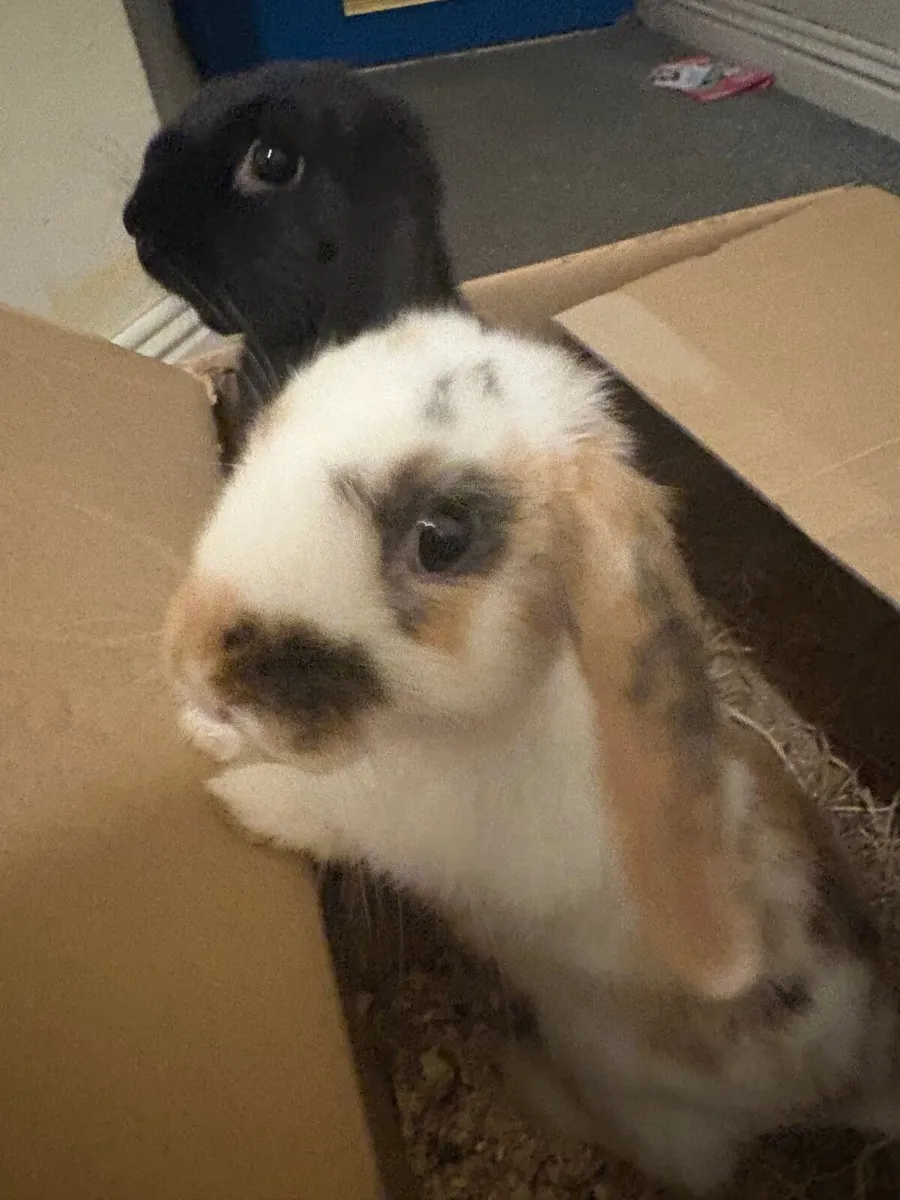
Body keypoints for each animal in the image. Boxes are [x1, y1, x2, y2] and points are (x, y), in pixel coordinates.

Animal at [163, 307, 900, 1194]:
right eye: (278, 415)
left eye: (441, 538)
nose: (194, 657)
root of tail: (855, 1071)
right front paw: (202, 726)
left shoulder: (397, 821)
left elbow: (327, 808)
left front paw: (236, 793)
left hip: (651, 1107)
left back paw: (529, 1079)